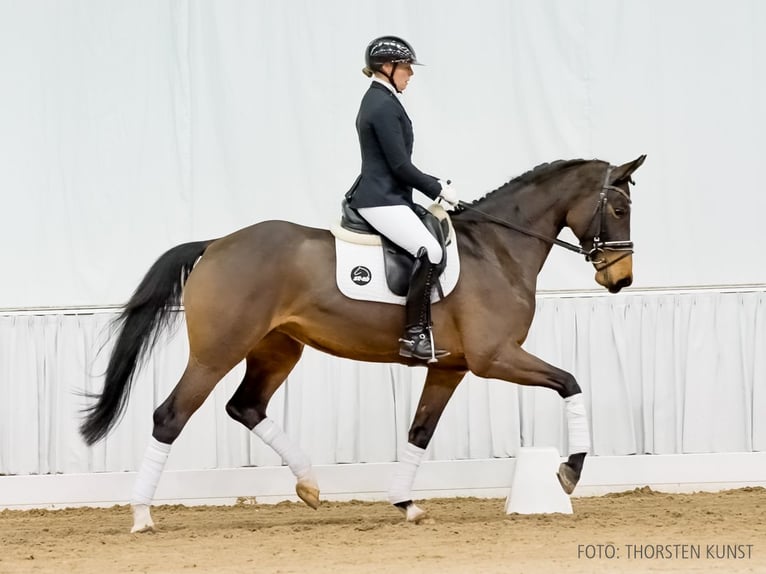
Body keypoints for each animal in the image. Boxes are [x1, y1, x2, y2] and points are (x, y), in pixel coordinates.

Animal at [81, 155, 648, 532]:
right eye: (620, 207)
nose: (620, 279)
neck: (497, 250)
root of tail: (215, 244)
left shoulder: (451, 366)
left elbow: (420, 430)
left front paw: (405, 503)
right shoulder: (495, 358)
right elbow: (571, 383)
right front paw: (569, 472)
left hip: (277, 348)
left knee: (245, 406)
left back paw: (309, 485)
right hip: (218, 351)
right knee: (170, 416)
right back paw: (142, 515)